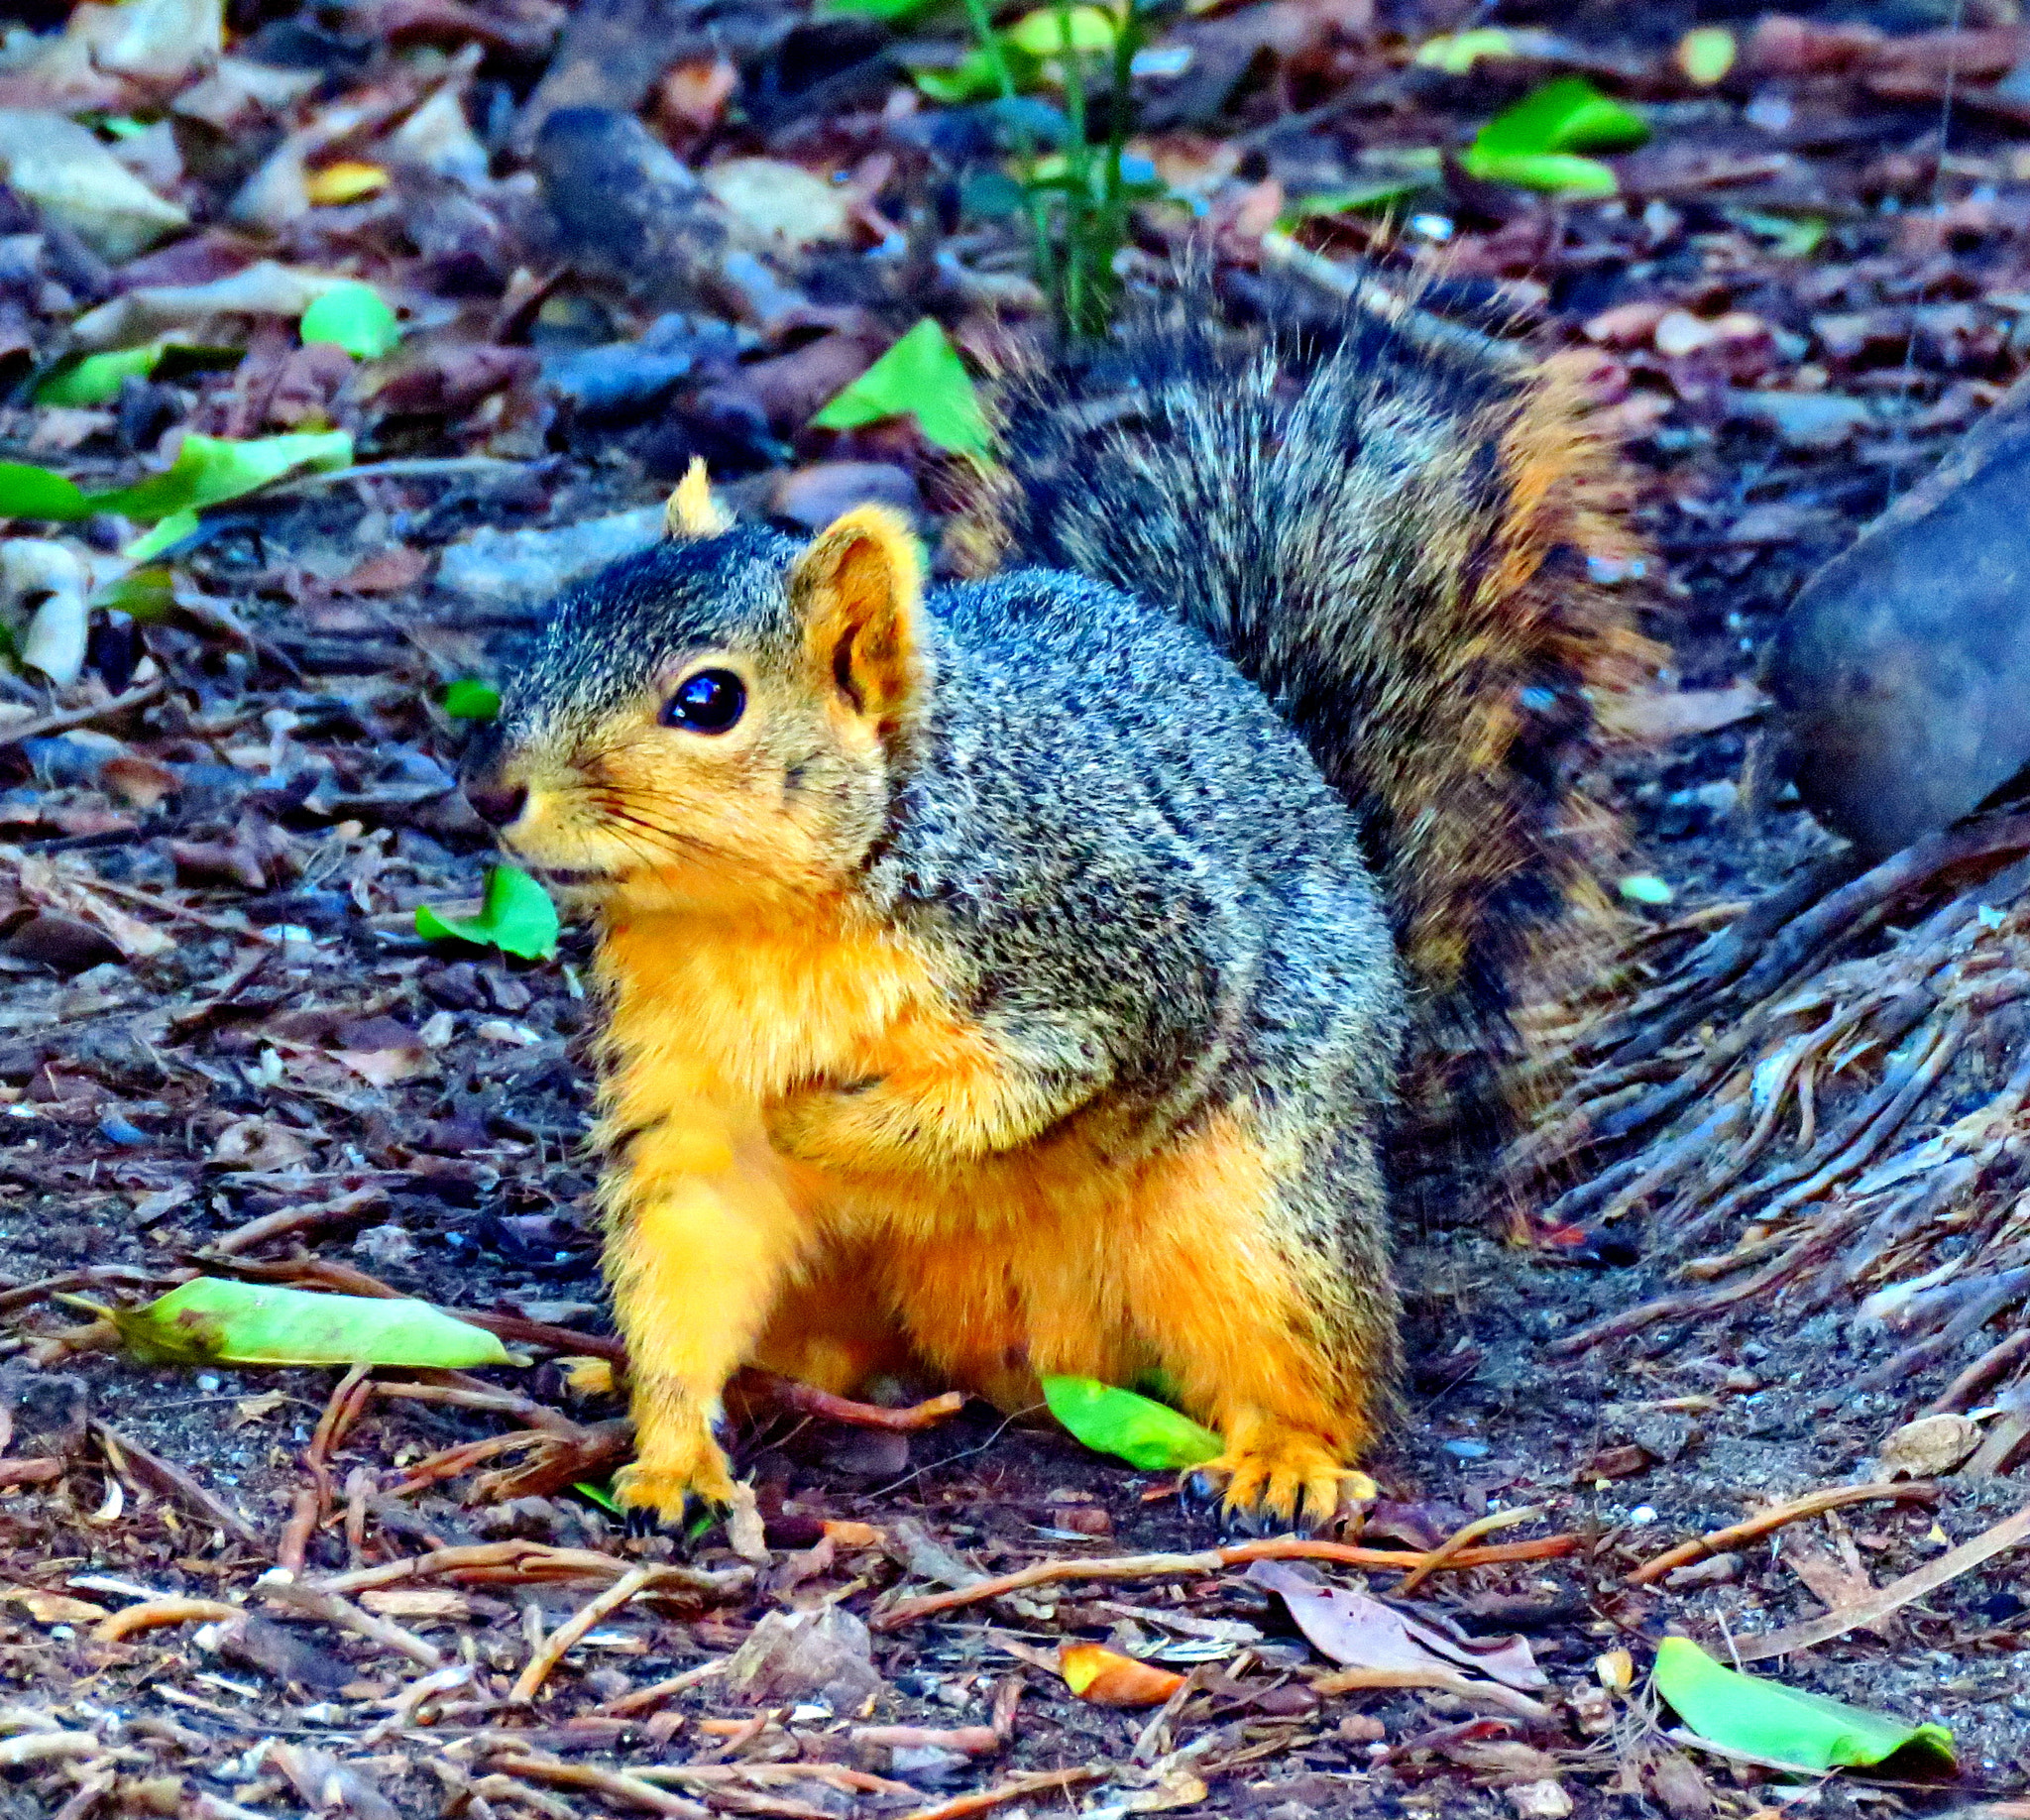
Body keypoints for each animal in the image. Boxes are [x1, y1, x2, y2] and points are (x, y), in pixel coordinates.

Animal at [467, 287, 1656, 1536]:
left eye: (708, 700)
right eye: (550, 626)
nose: (490, 790)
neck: (761, 924)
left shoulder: (1117, 953)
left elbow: (1012, 1094)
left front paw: (817, 1122)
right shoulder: (682, 1089)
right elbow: (686, 1255)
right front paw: (670, 1454)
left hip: (1260, 1213)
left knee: (1329, 1370)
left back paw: (1290, 1457)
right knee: (823, 1353)